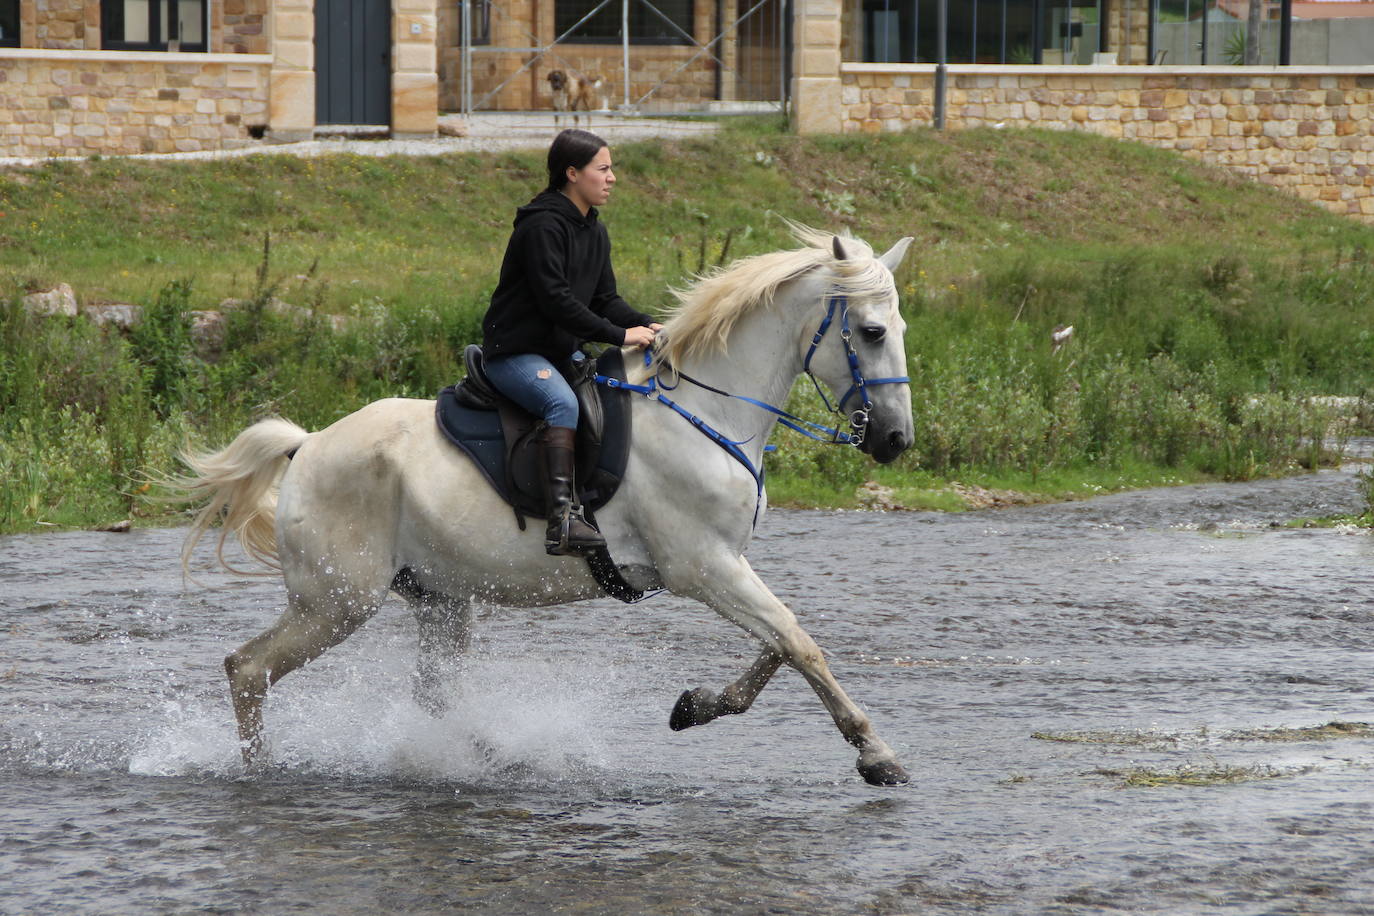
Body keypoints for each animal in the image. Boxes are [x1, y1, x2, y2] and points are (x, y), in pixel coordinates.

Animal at [179, 223, 912, 791]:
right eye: (873, 331)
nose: (895, 440)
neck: (710, 411)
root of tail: (307, 447)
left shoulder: (725, 565)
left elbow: (782, 643)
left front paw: (696, 706)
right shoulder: (703, 567)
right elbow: (799, 643)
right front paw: (877, 755)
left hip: (438, 599)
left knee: (431, 696)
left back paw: (483, 757)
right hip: (337, 603)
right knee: (248, 669)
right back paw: (262, 772)